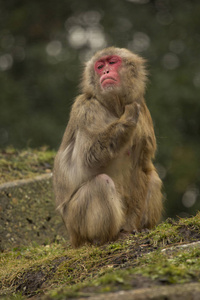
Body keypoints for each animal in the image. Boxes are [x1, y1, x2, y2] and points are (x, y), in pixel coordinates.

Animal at [53, 47, 162, 247]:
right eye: (100, 66)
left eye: (112, 62)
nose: (105, 72)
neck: (114, 106)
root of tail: (73, 238)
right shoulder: (87, 109)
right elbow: (88, 158)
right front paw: (127, 119)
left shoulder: (144, 111)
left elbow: (141, 166)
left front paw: (131, 228)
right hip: (76, 222)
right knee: (100, 183)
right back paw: (103, 239)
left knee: (153, 178)